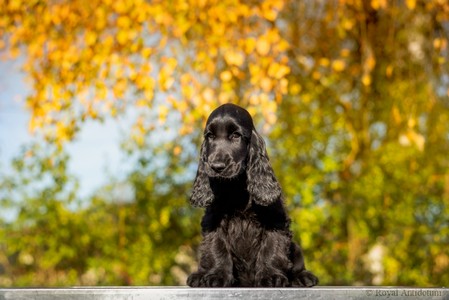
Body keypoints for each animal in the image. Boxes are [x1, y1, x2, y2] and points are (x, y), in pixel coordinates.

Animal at [186, 104, 318, 288]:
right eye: (210, 136)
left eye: (236, 135)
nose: (216, 166)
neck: (236, 188)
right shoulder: (213, 220)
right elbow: (217, 247)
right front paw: (217, 275)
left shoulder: (275, 219)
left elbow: (271, 247)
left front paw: (271, 276)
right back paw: (199, 275)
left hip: (295, 248)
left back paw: (302, 276)